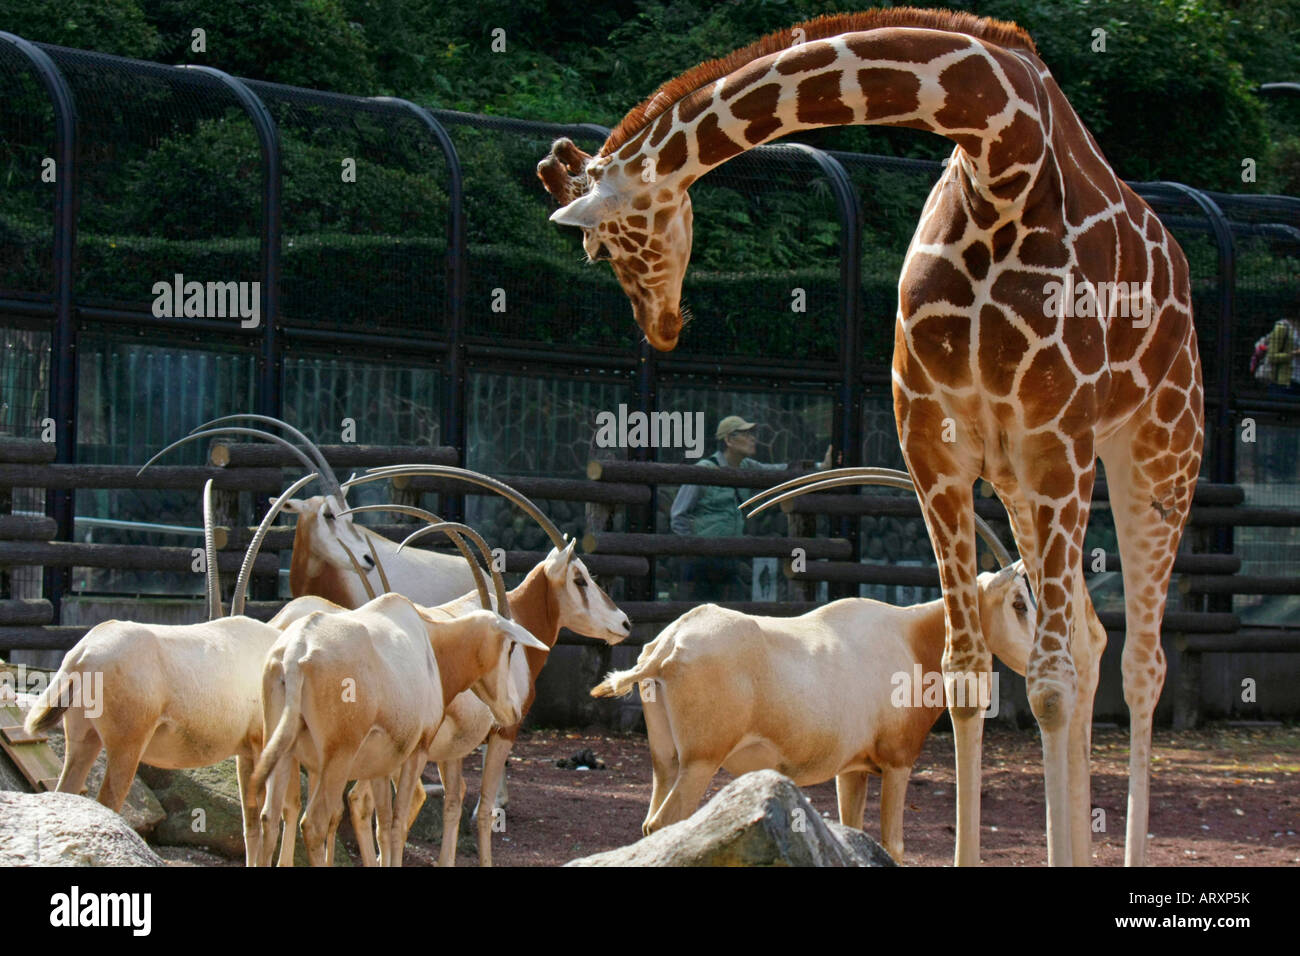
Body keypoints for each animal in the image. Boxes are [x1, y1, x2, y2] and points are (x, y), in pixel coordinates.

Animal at [535, 7, 1196, 863]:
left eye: (604, 242)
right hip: (1026, 479)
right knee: (1089, 640)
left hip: (1152, 450)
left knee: (1141, 664)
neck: (1001, 151)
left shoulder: (1055, 435)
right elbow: (966, 672)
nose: (665, 326)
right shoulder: (938, 444)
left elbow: (1047, 684)